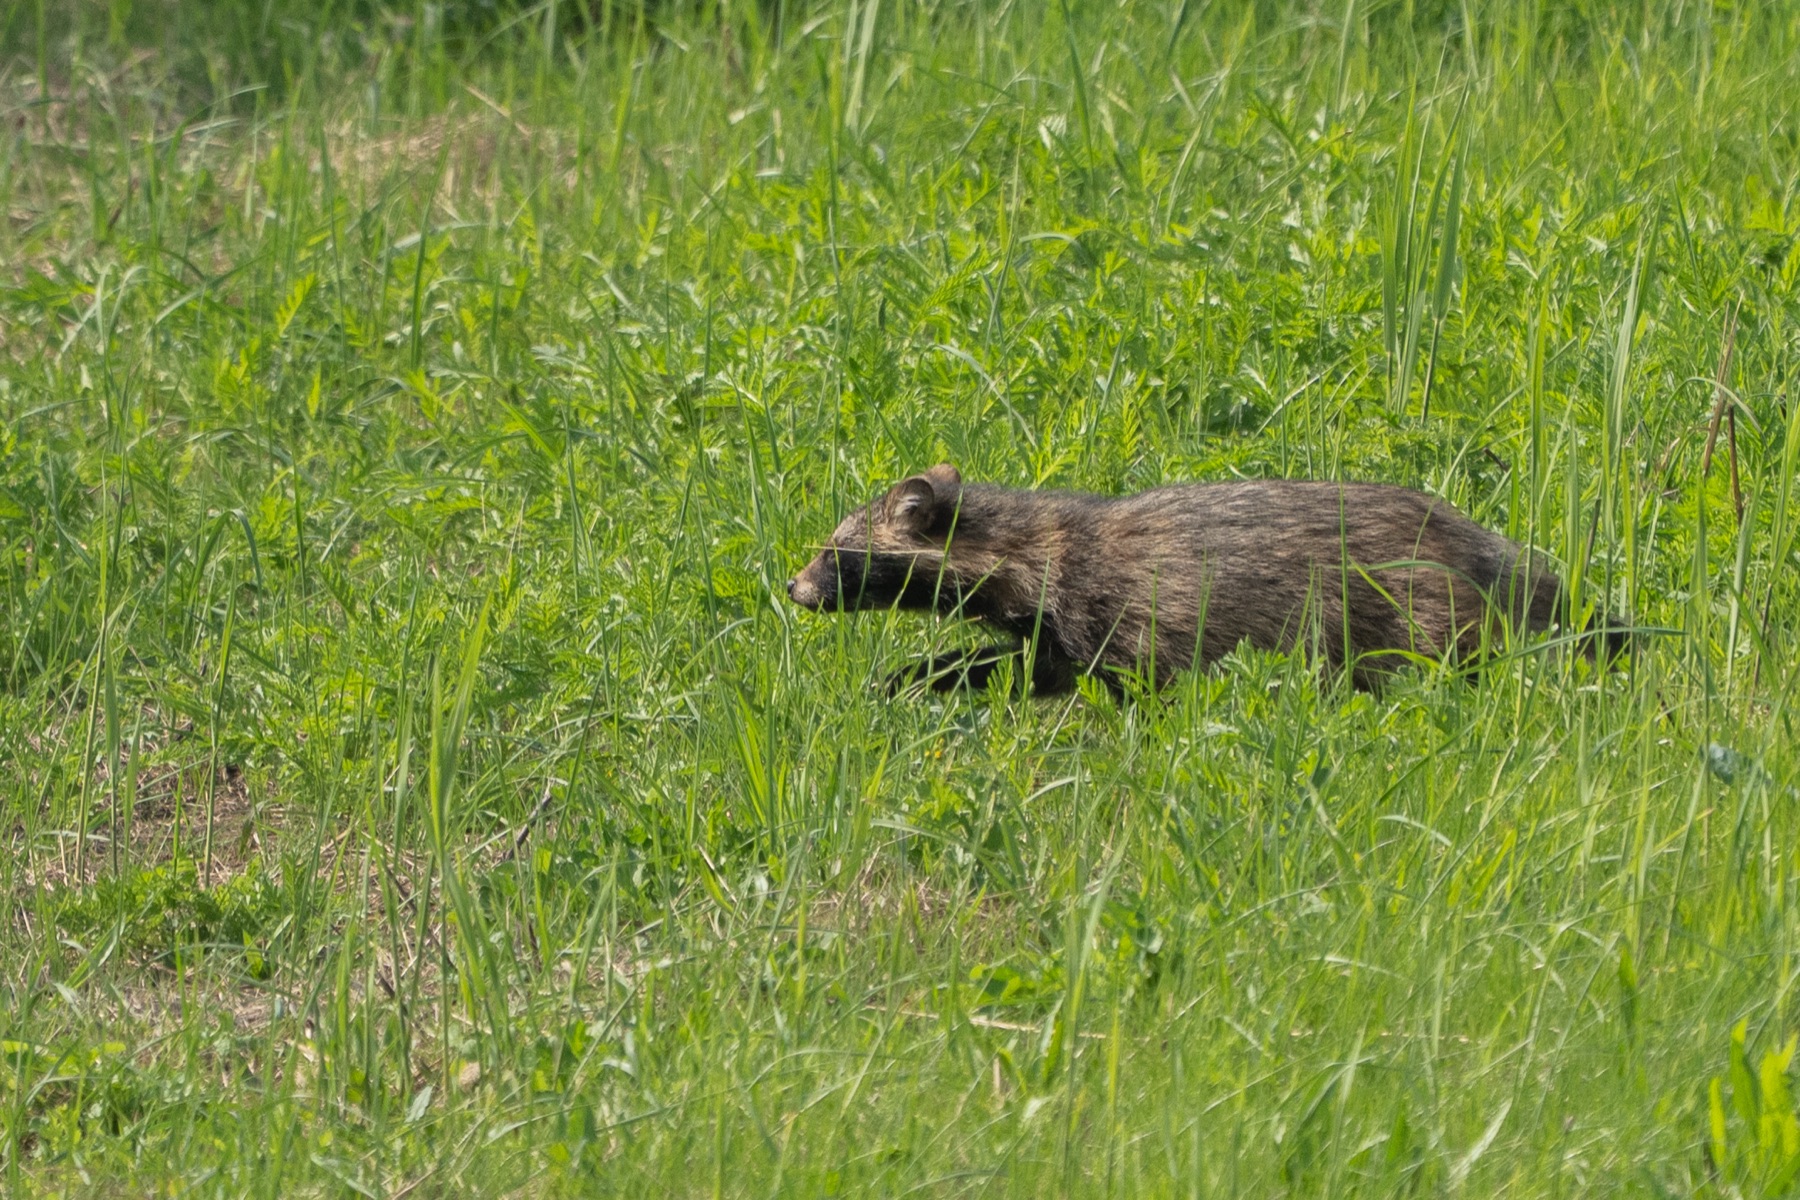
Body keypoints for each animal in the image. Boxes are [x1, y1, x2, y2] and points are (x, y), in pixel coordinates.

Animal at [786, 464, 1620, 693]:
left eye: (834, 550)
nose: (791, 587)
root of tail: (1470, 535)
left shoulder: (1128, 609)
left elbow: (1144, 679)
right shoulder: (1054, 634)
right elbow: (1015, 667)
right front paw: (915, 677)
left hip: (1413, 607)